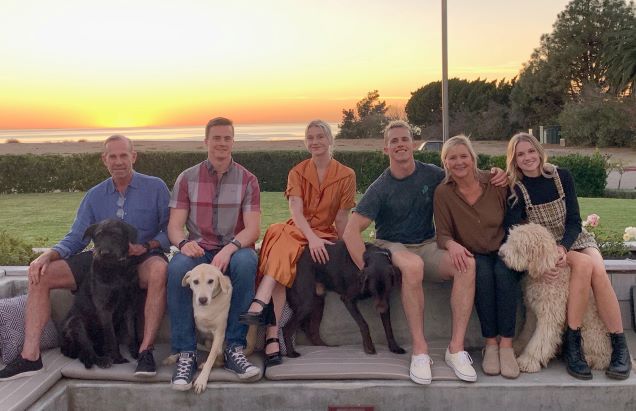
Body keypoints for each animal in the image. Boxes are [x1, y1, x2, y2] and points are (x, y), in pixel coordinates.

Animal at [60, 220, 140, 368]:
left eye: (115, 235)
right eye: (98, 235)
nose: (104, 252)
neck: (116, 269)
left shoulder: (130, 307)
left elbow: (132, 332)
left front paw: (136, 352)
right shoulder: (105, 309)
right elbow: (111, 338)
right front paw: (117, 358)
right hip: (75, 322)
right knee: (88, 349)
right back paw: (101, 359)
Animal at [500, 224, 608, 374]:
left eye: (519, 246)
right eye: (510, 240)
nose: (500, 254)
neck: (544, 271)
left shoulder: (550, 315)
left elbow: (540, 340)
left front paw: (528, 361)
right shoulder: (532, 312)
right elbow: (527, 332)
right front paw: (517, 347)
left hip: (589, 333)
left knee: (601, 356)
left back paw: (589, 358)